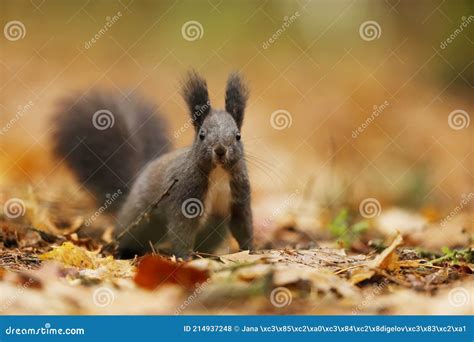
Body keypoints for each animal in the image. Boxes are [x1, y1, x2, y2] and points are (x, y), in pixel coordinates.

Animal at [52, 72, 254, 260]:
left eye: (238, 135)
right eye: (202, 134)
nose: (220, 150)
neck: (219, 174)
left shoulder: (239, 195)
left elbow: (243, 226)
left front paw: (252, 251)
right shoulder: (185, 196)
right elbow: (181, 230)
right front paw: (184, 258)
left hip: (214, 227)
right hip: (139, 218)